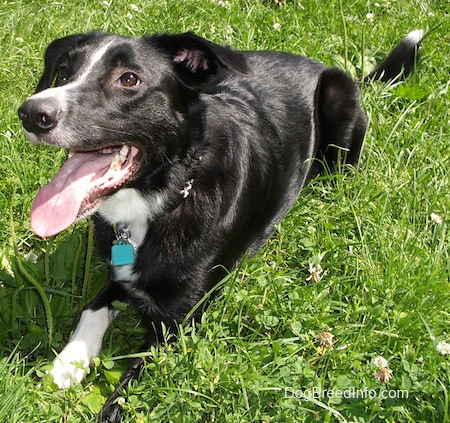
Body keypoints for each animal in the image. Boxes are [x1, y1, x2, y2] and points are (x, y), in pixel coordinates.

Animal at [18, 29, 422, 420]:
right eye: (64, 72)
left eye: (129, 79)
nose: (32, 113)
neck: (162, 201)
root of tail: (317, 63)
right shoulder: (121, 271)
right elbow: (92, 308)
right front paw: (66, 364)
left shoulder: (178, 323)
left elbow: (123, 397)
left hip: (339, 104)